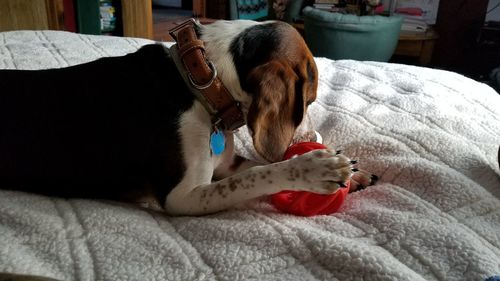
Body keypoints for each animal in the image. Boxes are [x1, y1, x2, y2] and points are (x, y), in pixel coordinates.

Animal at [0, 19, 376, 214]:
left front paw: (355, 175)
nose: (314, 140)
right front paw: (313, 168)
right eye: (308, 100)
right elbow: (259, 175)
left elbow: (253, 168)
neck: (203, 82)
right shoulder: (182, 197)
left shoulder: (224, 165)